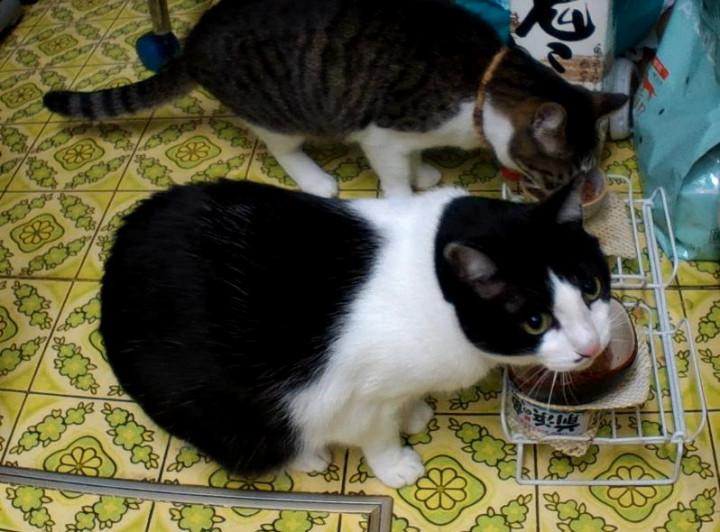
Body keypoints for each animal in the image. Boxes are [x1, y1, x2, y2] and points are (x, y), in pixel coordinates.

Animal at [44, 0, 627, 197]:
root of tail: (191, 44)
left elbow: (415, 157)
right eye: (557, 175)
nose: (570, 194)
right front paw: (408, 189)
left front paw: (424, 172)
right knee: (282, 148)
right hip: (280, 109)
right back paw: (316, 178)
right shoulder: (382, 133)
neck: (483, 86)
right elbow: (393, 175)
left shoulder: (408, 135)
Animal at [100, 178, 612, 488]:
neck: (430, 281)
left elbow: (402, 404)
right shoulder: (357, 393)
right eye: (535, 321)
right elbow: (377, 432)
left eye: (591, 287)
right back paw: (306, 456)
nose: (591, 346)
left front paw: (413, 412)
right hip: (224, 412)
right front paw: (396, 464)